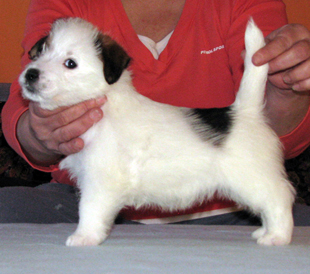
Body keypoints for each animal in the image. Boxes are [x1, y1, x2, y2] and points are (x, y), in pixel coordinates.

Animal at [19, 18, 296, 247]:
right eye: (40, 53)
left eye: (70, 63)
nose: (31, 74)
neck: (105, 101)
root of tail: (245, 111)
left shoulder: (100, 181)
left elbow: (89, 210)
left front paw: (84, 237)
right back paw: (265, 232)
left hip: (252, 179)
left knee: (279, 199)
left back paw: (277, 236)